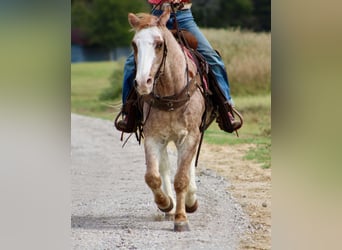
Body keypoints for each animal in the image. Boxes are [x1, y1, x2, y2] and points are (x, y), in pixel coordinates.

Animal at [128, 6, 214, 231]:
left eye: (159, 44)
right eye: (134, 44)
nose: (143, 82)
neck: (171, 93)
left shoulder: (191, 135)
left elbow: (181, 178)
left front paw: (181, 218)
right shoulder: (153, 137)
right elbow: (152, 176)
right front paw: (165, 203)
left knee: (188, 165)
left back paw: (190, 201)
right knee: (165, 167)